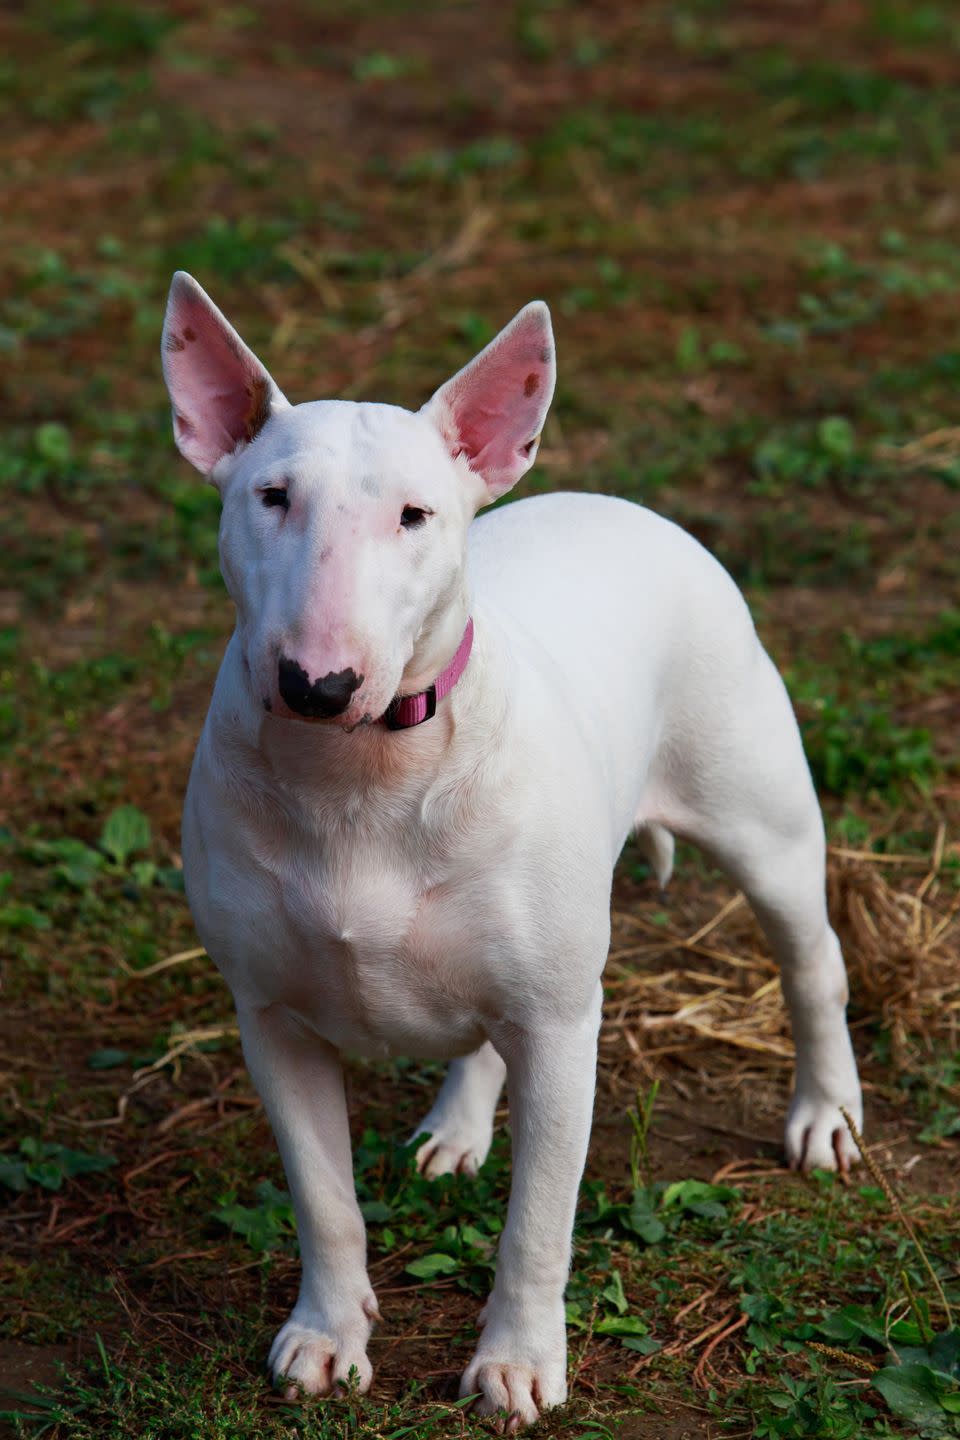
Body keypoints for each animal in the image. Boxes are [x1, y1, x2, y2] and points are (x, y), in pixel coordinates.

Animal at [163, 272, 863, 1428]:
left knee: (813, 964)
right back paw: (457, 1128)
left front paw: (519, 1366)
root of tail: (624, 507)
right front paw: (328, 1337)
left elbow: (538, 1219)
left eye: (414, 515)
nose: (318, 683)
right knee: (481, 1036)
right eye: (270, 497)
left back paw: (825, 1114)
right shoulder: (271, 1021)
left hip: (763, 825)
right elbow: (324, 1199)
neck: (362, 775)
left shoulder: (564, 1024)